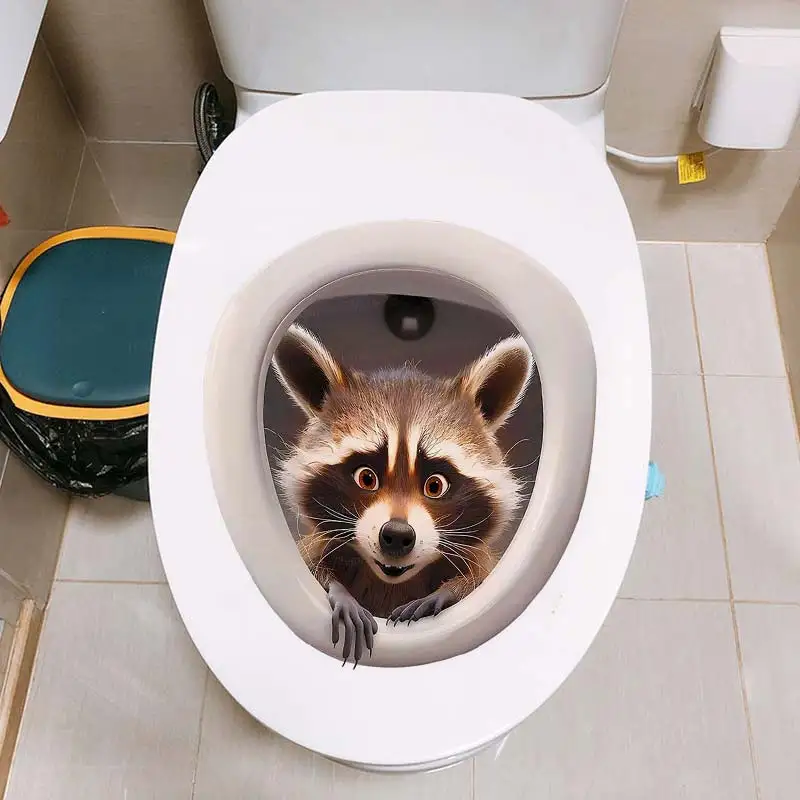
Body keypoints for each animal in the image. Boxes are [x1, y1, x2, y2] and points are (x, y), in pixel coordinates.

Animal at [272, 323, 533, 665]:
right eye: (366, 477)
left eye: (435, 485)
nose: (396, 535)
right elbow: (313, 568)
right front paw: (340, 594)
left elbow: (478, 579)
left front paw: (449, 591)